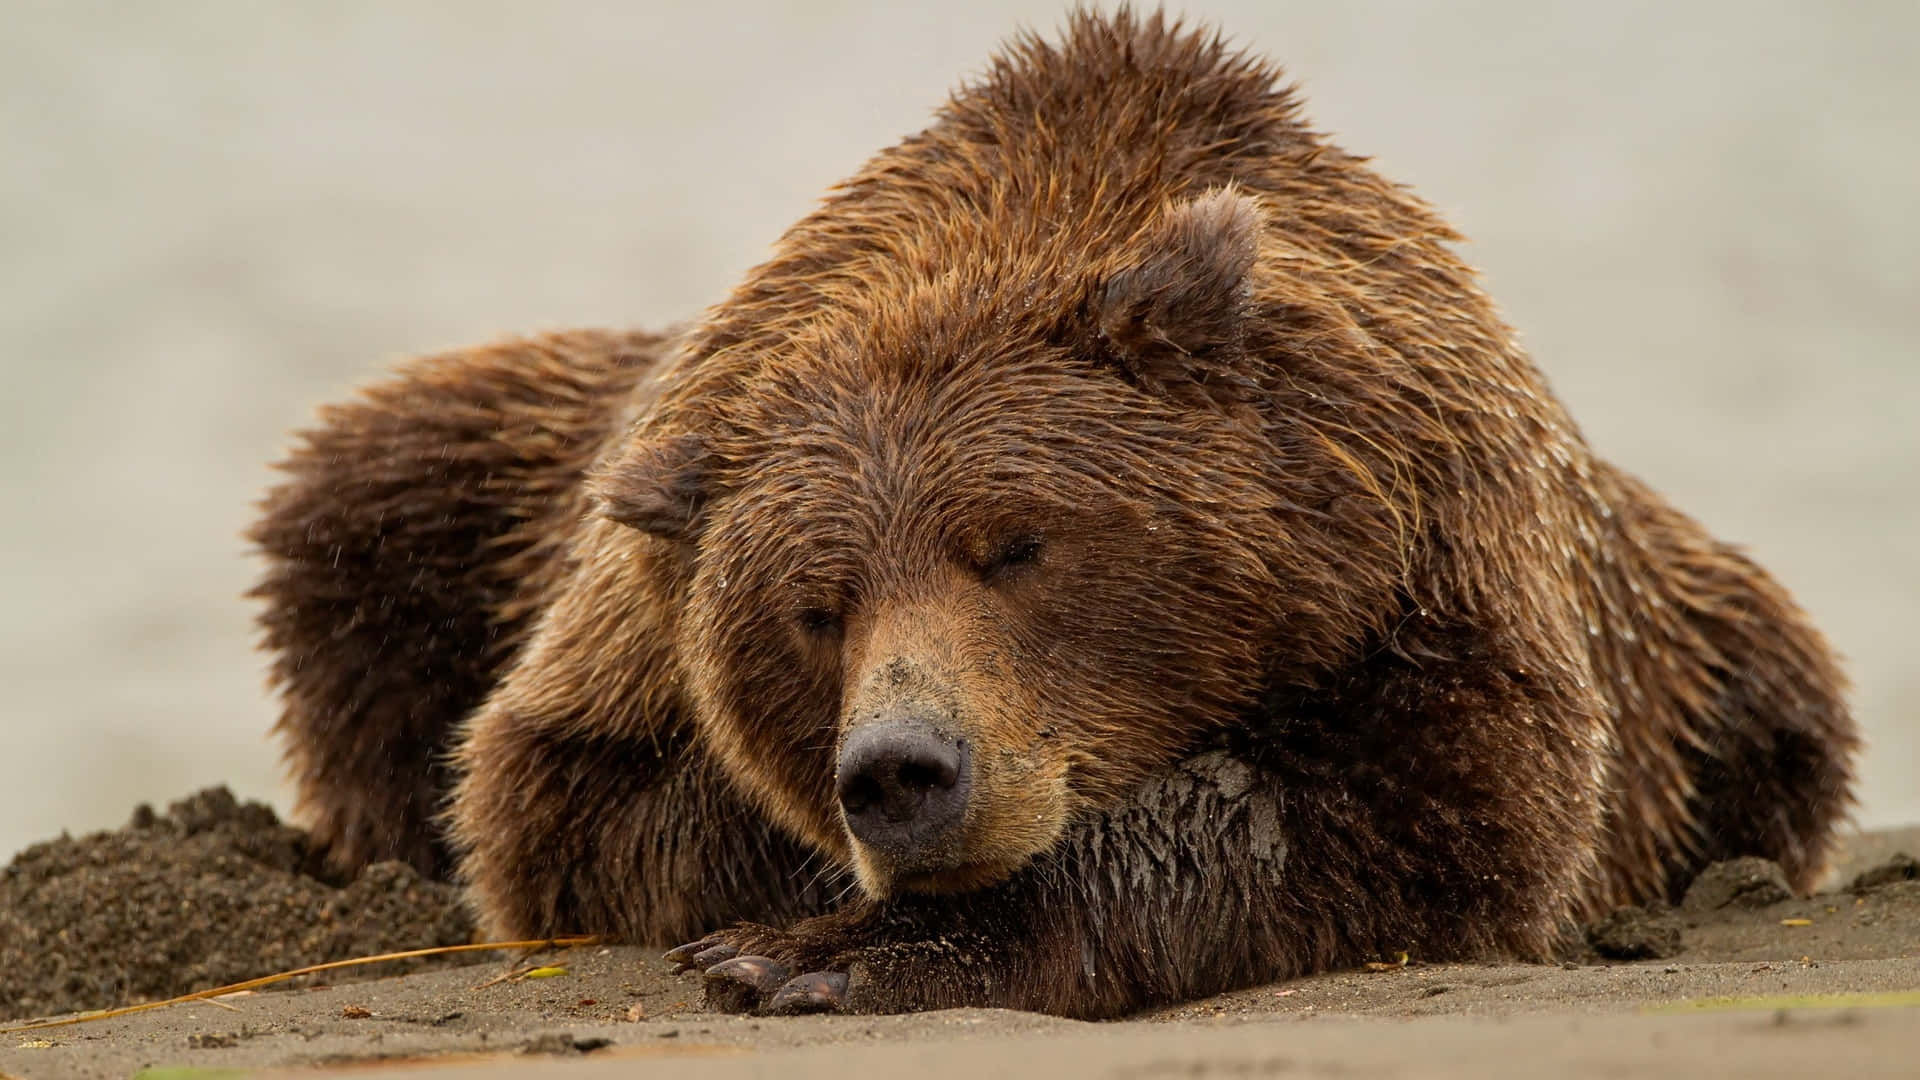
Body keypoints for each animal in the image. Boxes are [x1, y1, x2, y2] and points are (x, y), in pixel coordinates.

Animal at [249, 10, 1857, 1019]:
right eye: (814, 607)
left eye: (1017, 544)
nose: (903, 771)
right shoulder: (622, 635)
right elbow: (569, 805)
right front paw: (807, 921)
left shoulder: (1439, 558)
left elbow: (1415, 807)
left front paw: (833, 954)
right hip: (462, 471)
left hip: (1729, 664)